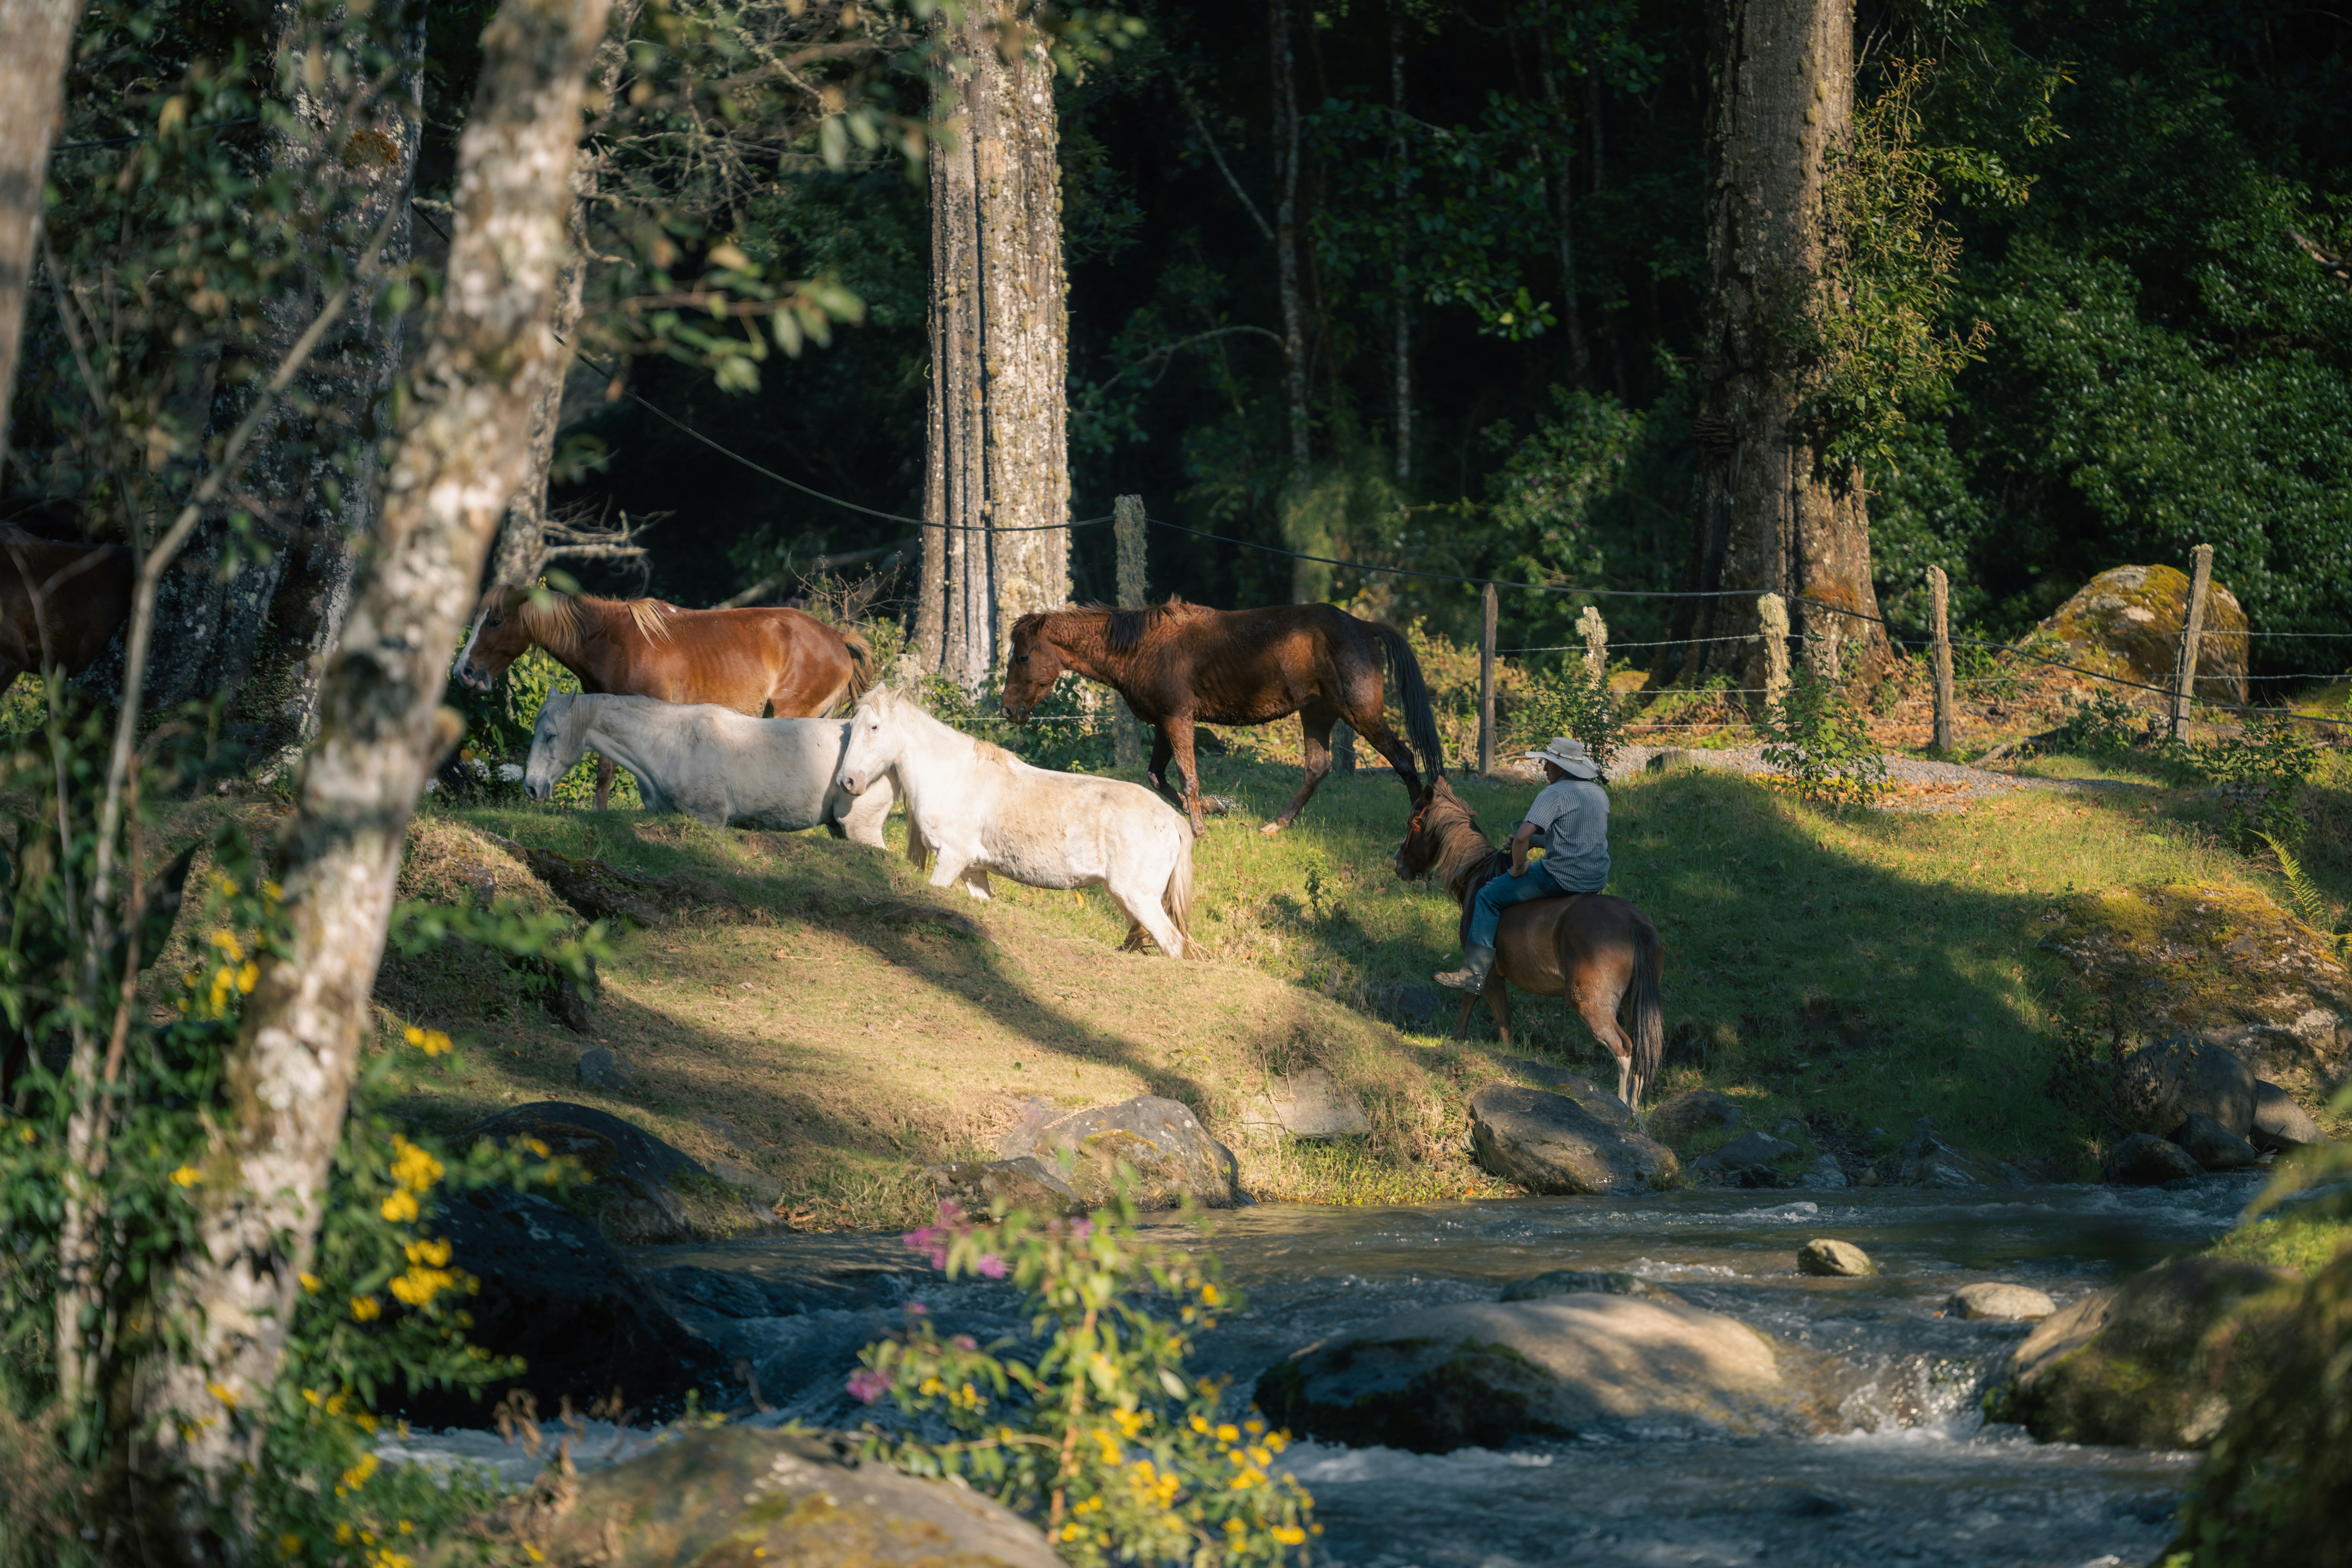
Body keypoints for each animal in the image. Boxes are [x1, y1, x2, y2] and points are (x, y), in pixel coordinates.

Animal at [835, 686, 1194, 957]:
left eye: (874, 727)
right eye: (851, 727)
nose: (847, 781)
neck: (953, 775)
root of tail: (1173, 819)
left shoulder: (950, 860)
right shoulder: (973, 871)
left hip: (1137, 897)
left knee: (1173, 943)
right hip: (1126, 898)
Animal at [1002, 598, 1445, 838]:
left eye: (1022, 656)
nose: (1007, 710)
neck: (1142, 647)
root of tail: (1365, 627)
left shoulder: (1177, 718)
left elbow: (1186, 775)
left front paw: (1199, 826)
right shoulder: (1165, 722)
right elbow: (1157, 775)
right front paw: (1213, 808)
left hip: (1359, 713)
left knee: (1403, 758)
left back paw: (1414, 825)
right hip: (1317, 713)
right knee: (1317, 768)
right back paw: (1274, 825)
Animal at [1394, 777, 1665, 1111]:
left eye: (1414, 822)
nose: (1397, 864)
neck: (1477, 876)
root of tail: (1633, 922)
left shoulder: (1488, 973)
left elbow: (1494, 1015)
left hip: (1591, 1004)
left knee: (1624, 1050)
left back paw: (1621, 1106)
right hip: (1631, 1002)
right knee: (1639, 1052)